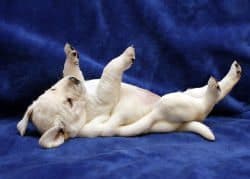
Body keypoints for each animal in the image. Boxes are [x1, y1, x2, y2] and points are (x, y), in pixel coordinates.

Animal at [16, 43, 241, 148]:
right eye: (69, 103)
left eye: (52, 90)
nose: (74, 83)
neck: (85, 102)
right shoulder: (105, 98)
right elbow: (109, 71)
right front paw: (127, 56)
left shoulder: (82, 83)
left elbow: (72, 70)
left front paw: (71, 56)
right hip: (172, 104)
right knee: (205, 105)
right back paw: (214, 88)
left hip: (185, 93)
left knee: (207, 92)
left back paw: (231, 74)